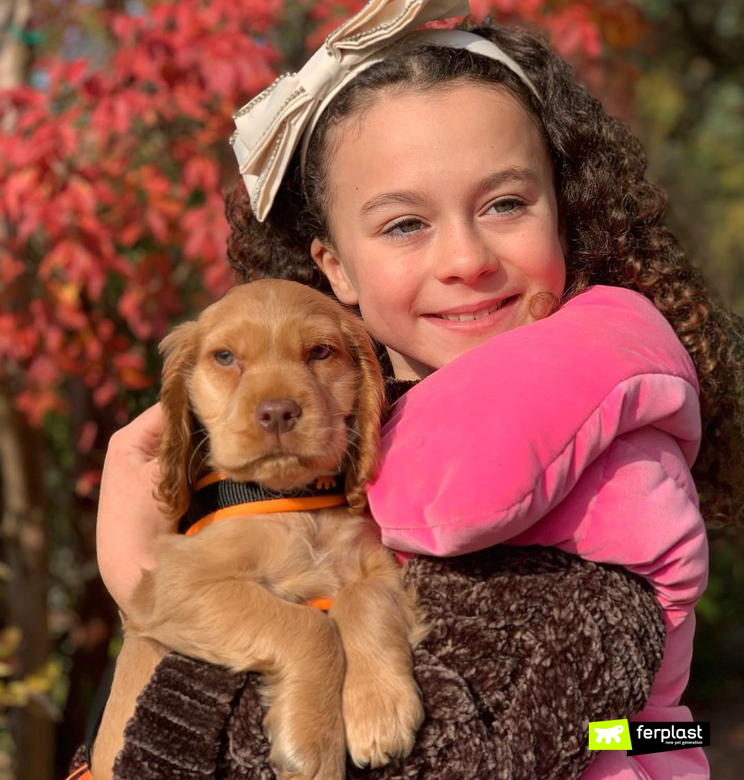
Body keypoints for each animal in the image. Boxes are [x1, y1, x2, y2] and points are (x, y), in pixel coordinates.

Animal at [91, 280, 428, 780]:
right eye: (225, 357)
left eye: (320, 352)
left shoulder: (379, 565)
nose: (277, 412)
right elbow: (309, 625)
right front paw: (313, 746)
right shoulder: (175, 585)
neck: (293, 503)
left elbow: (363, 596)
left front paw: (379, 708)